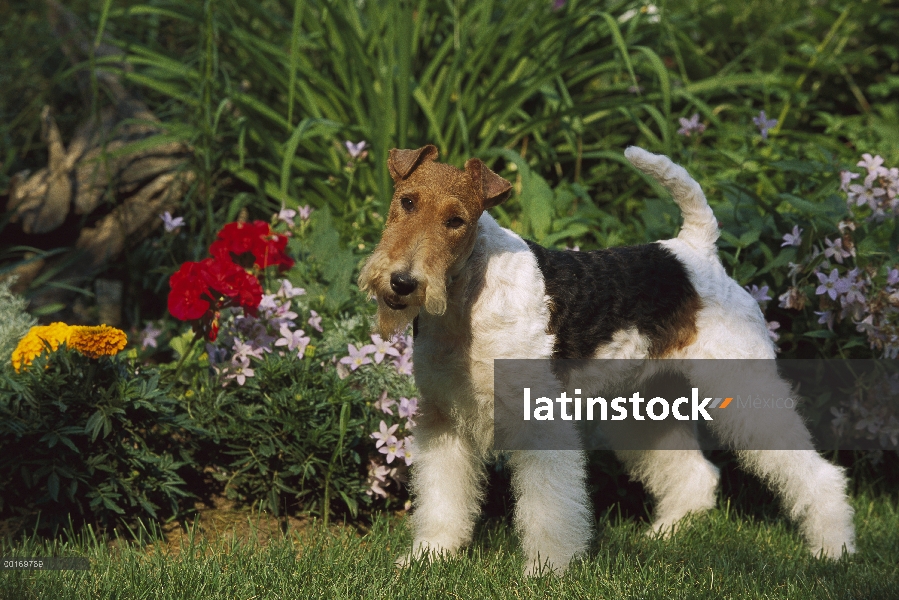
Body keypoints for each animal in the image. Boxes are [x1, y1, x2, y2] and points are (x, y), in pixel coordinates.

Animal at [358, 145, 856, 576]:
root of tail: (695, 252)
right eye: (406, 201)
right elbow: (442, 496)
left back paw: (833, 550)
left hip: (744, 387)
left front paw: (546, 569)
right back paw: (666, 534)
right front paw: (428, 556)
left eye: (456, 220)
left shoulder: (539, 419)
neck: (468, 297)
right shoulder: (445, 419)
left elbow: (549, 505)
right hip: (646, 405)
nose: (402, 282)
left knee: (819, 474)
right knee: (696, 474)